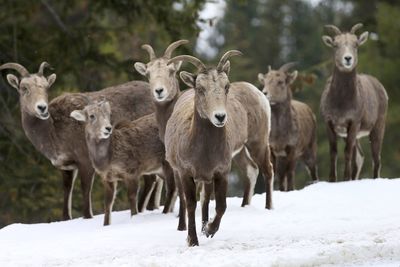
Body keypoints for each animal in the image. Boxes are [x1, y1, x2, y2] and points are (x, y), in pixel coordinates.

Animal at [0, 62, 155, 220]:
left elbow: (86, 192)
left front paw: (88, 215)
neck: (53, 134)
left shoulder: (85, 162)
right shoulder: (66, 167)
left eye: (46, 87)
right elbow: (67, 191)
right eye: (24, 88)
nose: (42, 108)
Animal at [164, 50, 274, 247]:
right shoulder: (186, 173)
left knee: (266, 170)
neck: (203, 150)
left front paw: (209, 230)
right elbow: (191, 203)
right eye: (200, 89)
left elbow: (221, 206)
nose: (220, 117)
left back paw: (268, 208)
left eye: (226, 87)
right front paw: (193, 240)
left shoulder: (221, 172)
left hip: (257, 143)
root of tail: (259, 94)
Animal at [260, 62, 318, 193]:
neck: (280, 136)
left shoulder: (292, 148)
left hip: (309, 148)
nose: (265, 93)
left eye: (280, 81)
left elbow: (288, 173)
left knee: (311, 168)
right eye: (265, 81)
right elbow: (275, 173)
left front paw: (289, 189)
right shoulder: (272, 149)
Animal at [322, 23, 388, 182]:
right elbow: (334, 153)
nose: (348, 58)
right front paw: (332, 180)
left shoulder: (353, 124)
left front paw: (346, 179)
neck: (341, 102)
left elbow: (346, 153)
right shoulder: (330, 125)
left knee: (375, 158)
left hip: (377, 128)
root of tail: (381, 88)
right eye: (335, 45)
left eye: (356, 44)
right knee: (359, 157)